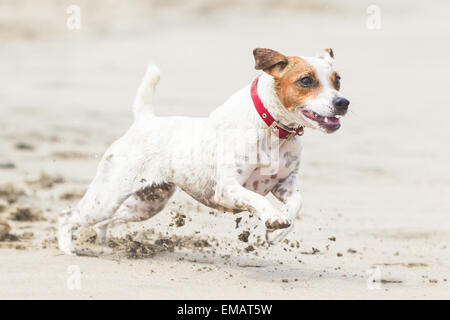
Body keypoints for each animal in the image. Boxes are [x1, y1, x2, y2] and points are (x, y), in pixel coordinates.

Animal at [58, 47, 350, 255]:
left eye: (337, 81)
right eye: (306, 80)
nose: (343, 102)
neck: (273, 130)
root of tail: (145, 120)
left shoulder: (285, 184)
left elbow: (297, 204)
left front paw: (276, 230)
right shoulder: (228, 188)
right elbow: (258, 199)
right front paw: (272, 217)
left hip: (145, 204)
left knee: (104, 221)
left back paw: (103, 244)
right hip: (107, 197)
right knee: (67, 216)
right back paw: (68, 250)